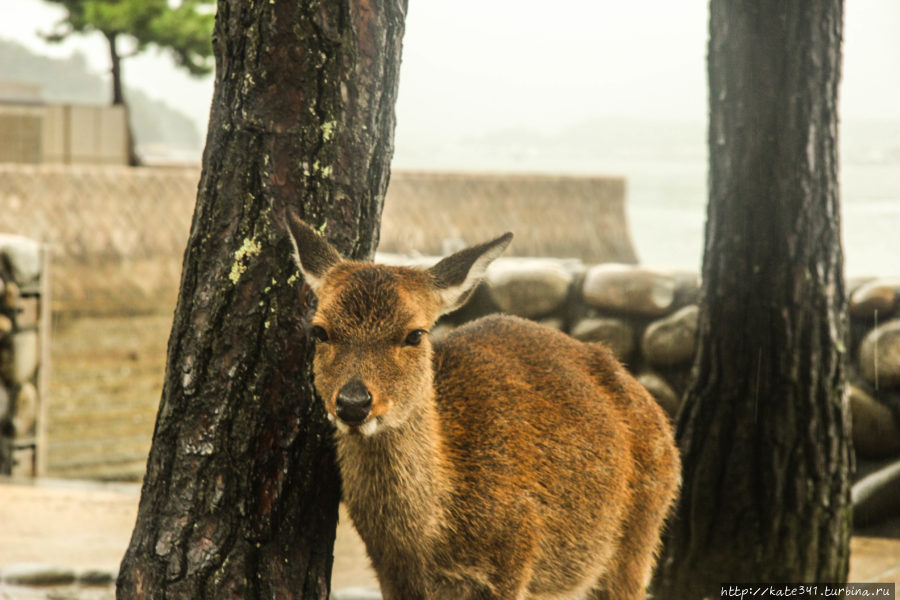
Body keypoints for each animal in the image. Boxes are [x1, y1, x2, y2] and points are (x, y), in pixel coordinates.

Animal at [288, 217, 684, 600]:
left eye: (415, 334)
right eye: (320, 331)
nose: (354, 403)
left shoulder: (515, 553)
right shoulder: (389, 571)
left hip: (640, 534)